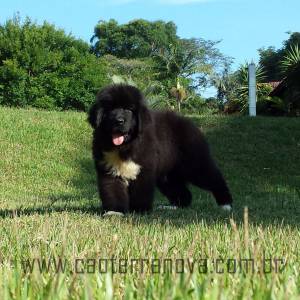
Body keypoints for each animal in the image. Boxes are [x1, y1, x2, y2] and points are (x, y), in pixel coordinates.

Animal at [88, 84, 233, 216]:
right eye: (111, 109)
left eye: (129, 109)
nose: (119, 121)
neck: (126, 147)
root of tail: (188, 122)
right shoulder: (109, 169)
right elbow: (112, 190)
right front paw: (114, 212)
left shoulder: (144, 170)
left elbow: (141, 192)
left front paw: (139, 211)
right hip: (167, 175)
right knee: (184, 194)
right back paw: (171, 207)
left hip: (194, 164)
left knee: (214, 178)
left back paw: (226, 205)